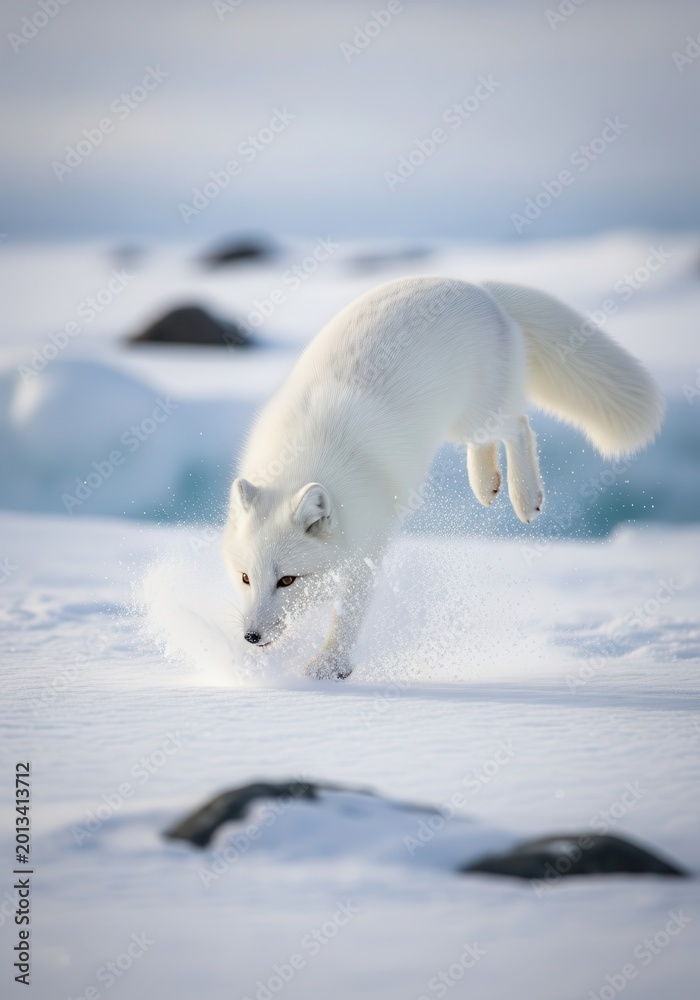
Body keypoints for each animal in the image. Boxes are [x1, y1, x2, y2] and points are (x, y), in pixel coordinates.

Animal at [223, 276, 664, 680]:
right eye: (245, 578)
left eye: (287, 580)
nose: (250, 637)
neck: (305, 458)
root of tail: (478, 287)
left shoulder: (369, 547)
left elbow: (347, 615)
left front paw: (329, 667)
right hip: (460, 424)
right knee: (494, 438)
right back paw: (486, 483)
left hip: (477, 414)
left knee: (518, 424)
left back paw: (524, 496)